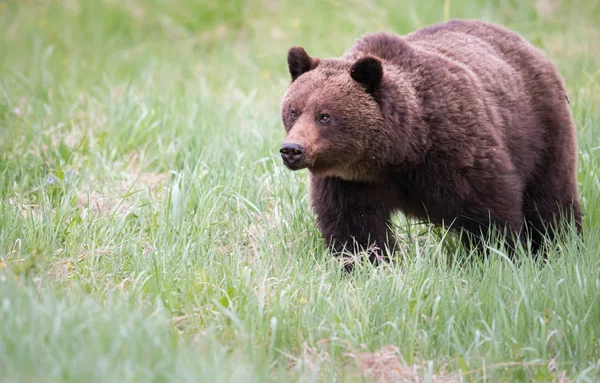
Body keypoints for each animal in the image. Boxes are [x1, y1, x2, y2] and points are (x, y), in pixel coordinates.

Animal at [280, 18, 580, 264]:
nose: (292, 150)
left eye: (324, 116)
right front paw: (365, 264)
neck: (402, 151)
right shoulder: (349, 181)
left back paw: (561, 242)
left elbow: (490, 210)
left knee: (550, 198)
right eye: (293, 111)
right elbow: (355, 228)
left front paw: (498, 256)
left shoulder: (457, 150)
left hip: (540, 129)